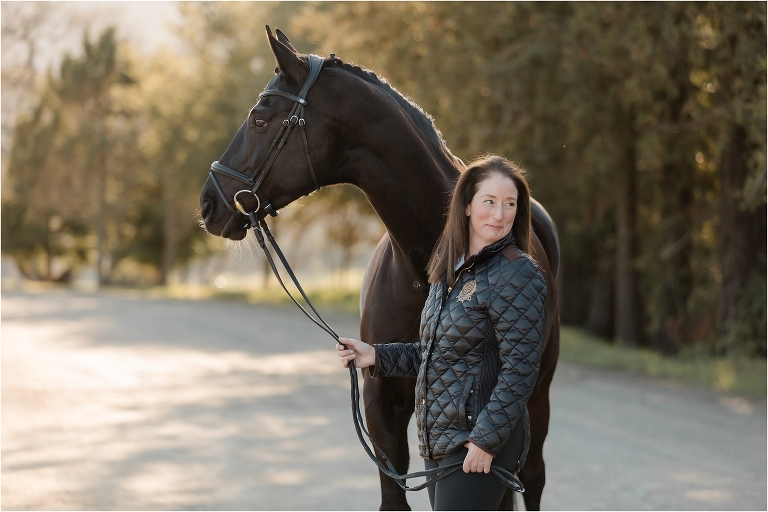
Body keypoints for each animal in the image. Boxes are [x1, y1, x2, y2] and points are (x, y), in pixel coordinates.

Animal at [199, 26, 560, 511]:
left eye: (259, 119)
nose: (208, 203)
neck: (426, 267)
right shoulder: (382, 404)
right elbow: (394, 496)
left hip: (536, 397)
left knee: (531, 476)